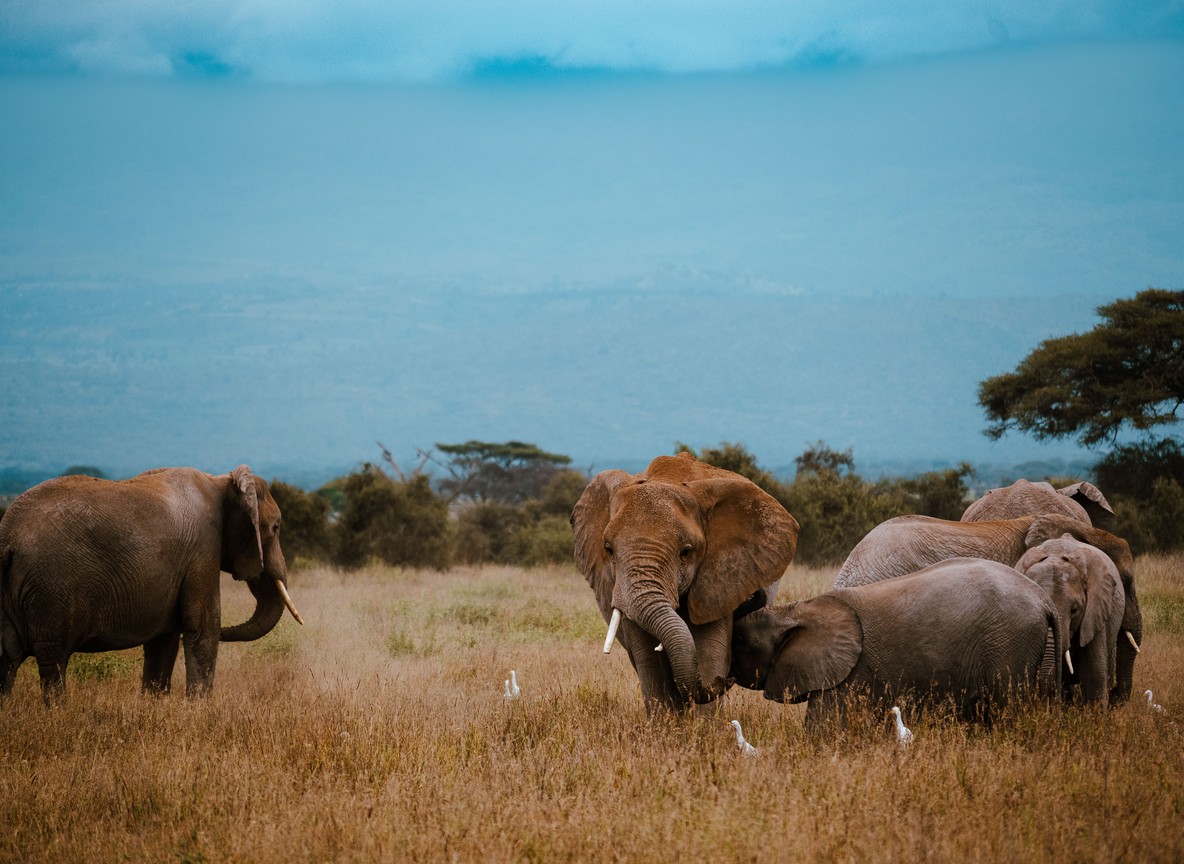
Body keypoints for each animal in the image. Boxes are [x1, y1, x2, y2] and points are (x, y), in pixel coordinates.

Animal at [0, 465, 303, 700]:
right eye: (275, 527)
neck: (222, 481)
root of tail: (8, 536)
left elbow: (164, 640)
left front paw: (154, 707)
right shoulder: (202, 550)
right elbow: (203, 625)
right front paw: (200, 710)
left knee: (7, 659)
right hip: (52, 589)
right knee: (53, 660)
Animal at [571, 452, 799, 712]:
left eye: (686, 552)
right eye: (608, 549)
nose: (728, 679)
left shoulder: (716, 584)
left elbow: (708, 655)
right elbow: (650, 662)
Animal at [730, 558, 1063, 730]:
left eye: (741, 641)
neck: (795, 611)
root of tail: (1045, 601)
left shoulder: (848, 676)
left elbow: (823, 730)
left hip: (1008, 646)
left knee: (1009, 708)